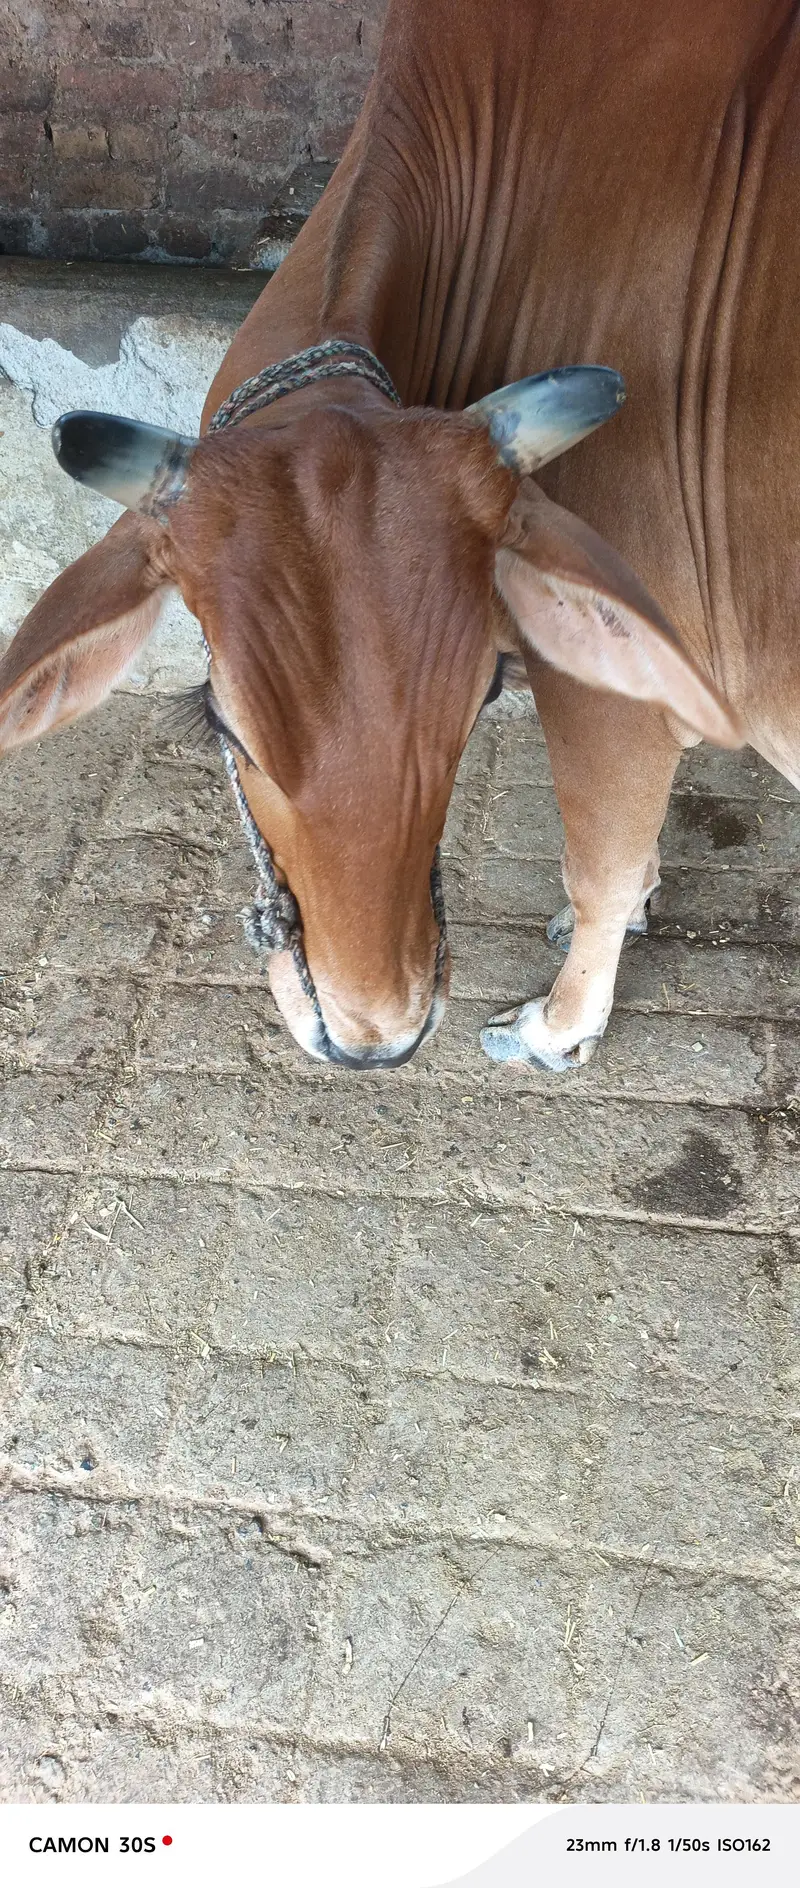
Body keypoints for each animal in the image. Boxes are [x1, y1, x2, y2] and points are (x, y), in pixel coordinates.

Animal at [1, 0, 795, 1073]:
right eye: (225, 727)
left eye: (479, 702)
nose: (374, 1031)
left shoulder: (606, 688)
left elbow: (600, 864)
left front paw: (560, 1025)